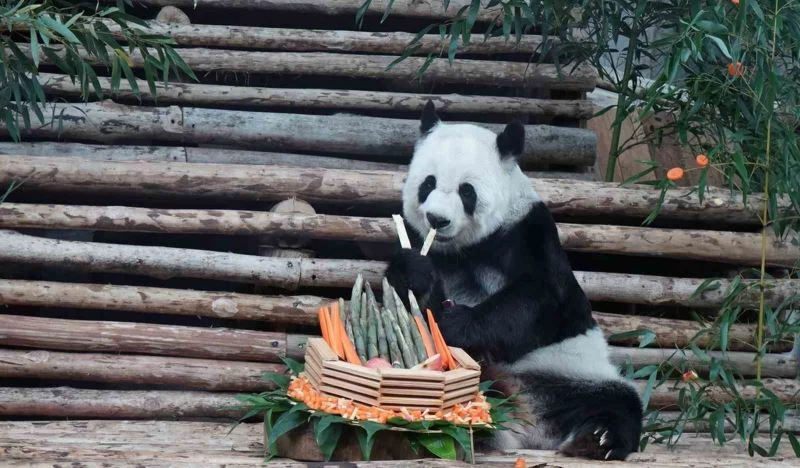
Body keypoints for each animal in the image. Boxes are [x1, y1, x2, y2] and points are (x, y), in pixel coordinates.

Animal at [385, 101, 643, 461]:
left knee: (618, 402)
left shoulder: (527, 232)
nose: (437, 219)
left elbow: (540, 300)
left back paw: (597, 439)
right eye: (427, 184)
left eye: (467, 191)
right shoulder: (416, 236)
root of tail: (527, 426)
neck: (462, 249)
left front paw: (456, 323)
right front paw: (415, 274)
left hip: (572, 371)